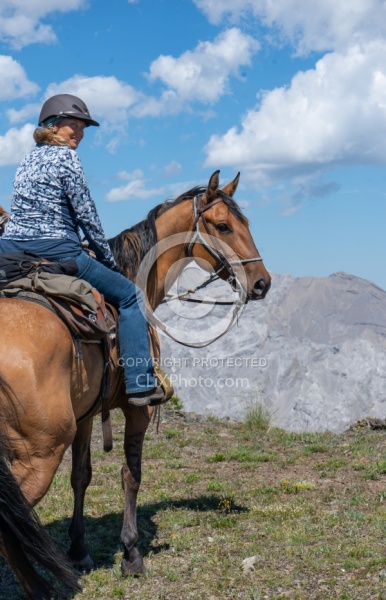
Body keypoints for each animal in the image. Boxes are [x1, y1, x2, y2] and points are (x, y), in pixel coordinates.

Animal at [0, 171, 270, 596]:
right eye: (224, 225)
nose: (262, 283)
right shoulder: (135, 409)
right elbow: (131, 474)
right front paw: (131, 554)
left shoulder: (86, 414)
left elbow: (81, 476)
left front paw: (79, 551)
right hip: (39, 452)